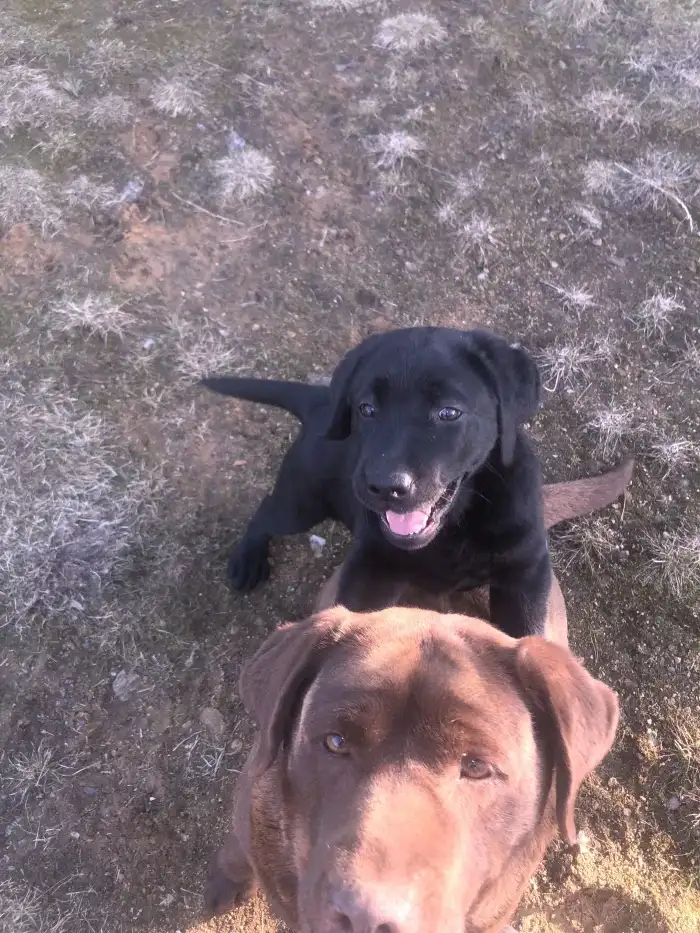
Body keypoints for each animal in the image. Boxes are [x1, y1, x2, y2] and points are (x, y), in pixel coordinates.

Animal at [204, 326, 595, 638]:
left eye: (448, 412)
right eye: (366, 409)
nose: (383, 486)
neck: (455, 528)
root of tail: (320, 401)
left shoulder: (527, 572)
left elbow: (530, 634)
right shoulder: (371, 568)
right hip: (303, 501)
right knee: (267, 511)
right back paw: (247, 562)